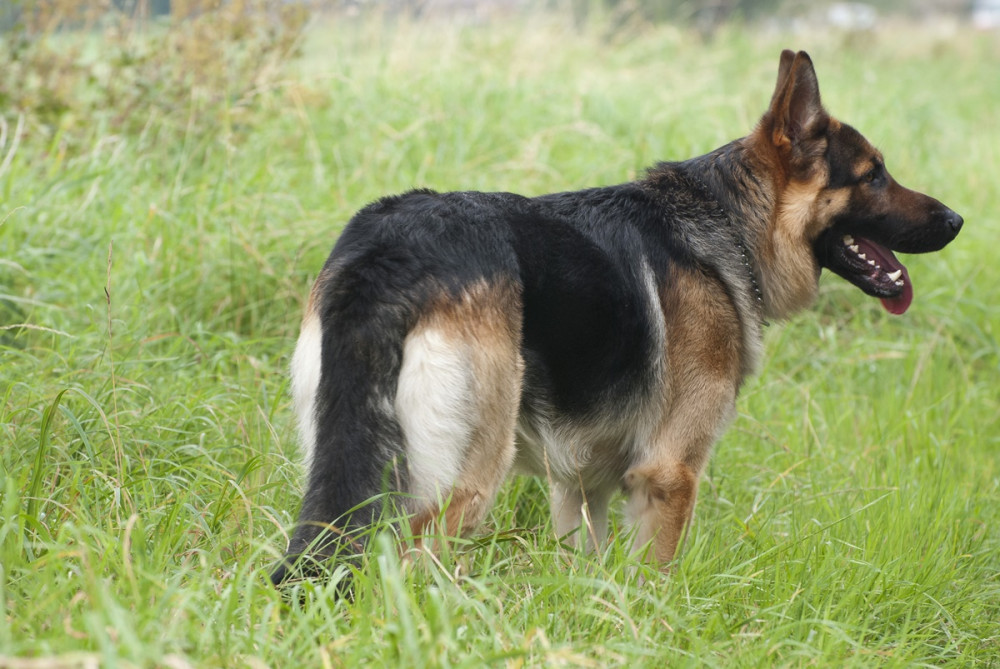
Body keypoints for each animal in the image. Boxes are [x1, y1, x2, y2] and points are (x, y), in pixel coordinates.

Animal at [268, 51, 960, 584]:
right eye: (874, 176)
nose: (957, 220)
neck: (728, 224)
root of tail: (389, 248)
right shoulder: (669, 476)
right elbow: (656, 581)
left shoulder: (580, 488)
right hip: (465, 477)